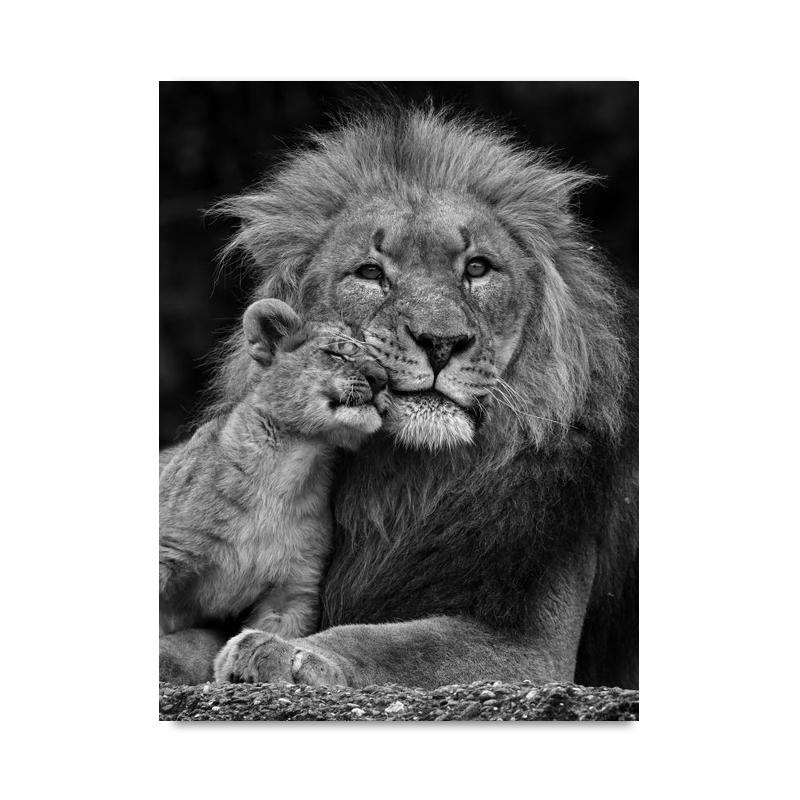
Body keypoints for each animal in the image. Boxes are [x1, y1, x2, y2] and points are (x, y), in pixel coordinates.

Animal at [159, 299, 387, 682]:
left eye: (386, 367)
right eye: (336, 353)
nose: (382, 381)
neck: (289, 471)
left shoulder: (292, 590)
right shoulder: (168, 555)